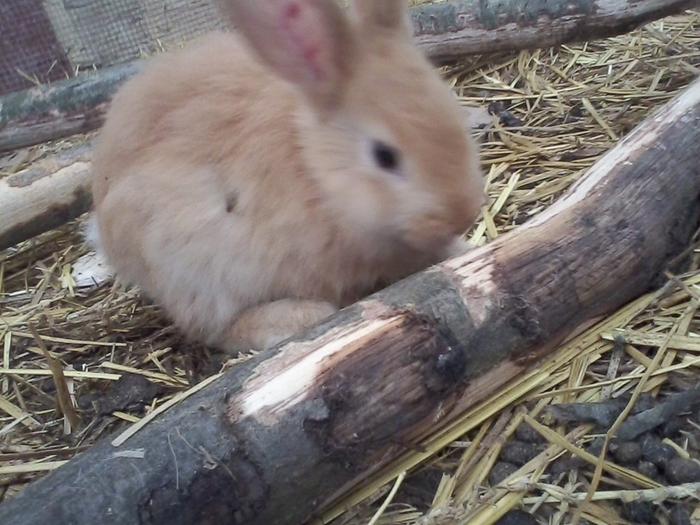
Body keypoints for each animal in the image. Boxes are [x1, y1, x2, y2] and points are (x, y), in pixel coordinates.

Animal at [90, 1, 484, 352]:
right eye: (384, 156)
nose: (463, 214)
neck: (314, 169)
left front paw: (464, 249)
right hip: (194, 273)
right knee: (216, 329)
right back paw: (301, 316)